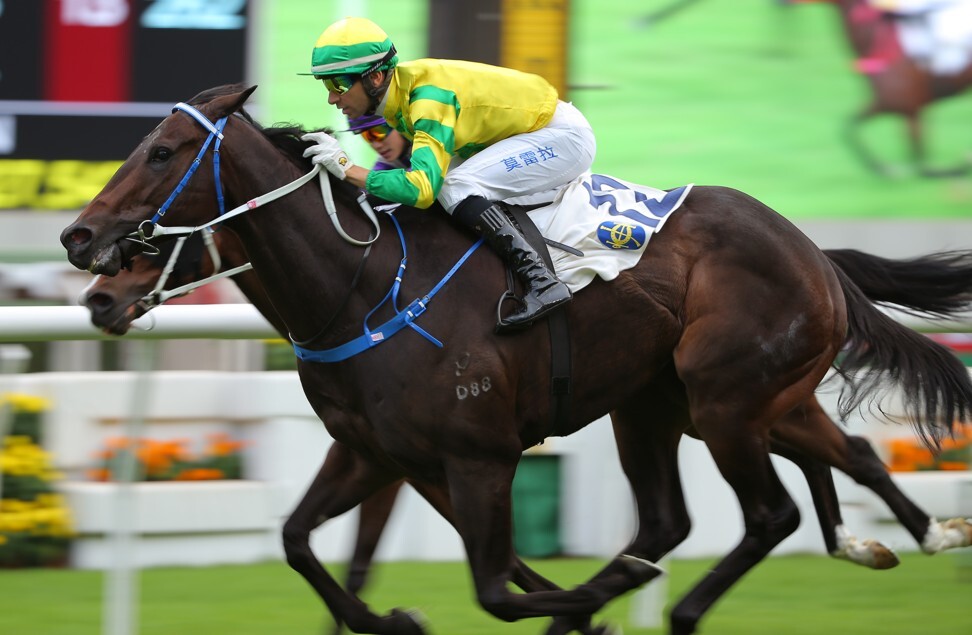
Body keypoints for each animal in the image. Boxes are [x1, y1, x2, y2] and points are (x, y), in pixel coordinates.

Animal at [60, 84, 972, 635]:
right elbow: (295, 540)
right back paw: (907, 534)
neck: (365, 287)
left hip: (726, 400)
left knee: (768, 514)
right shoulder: (374, 452)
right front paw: (395, 617)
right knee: (733, 494)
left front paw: (580, 604)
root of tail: (811, 248)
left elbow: (496, 586)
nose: (79, 240)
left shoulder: (478, 454)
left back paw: (669, 605)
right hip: (677, 401)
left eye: (163, 152)